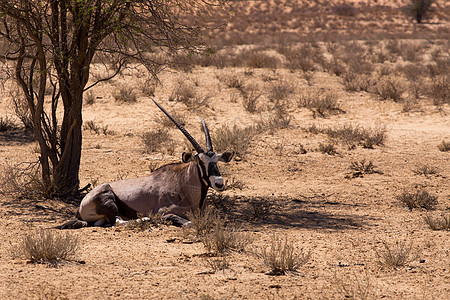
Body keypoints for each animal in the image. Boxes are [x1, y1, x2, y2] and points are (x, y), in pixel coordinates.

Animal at [59, 99, 236, 229]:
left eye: (217, 161)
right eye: (200, 161)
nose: (219, 183)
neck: (184, 184)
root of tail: (80, 207)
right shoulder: (165, 212)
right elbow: (188, 223)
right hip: (109, 199)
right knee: (117, 221)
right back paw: (146, 219)